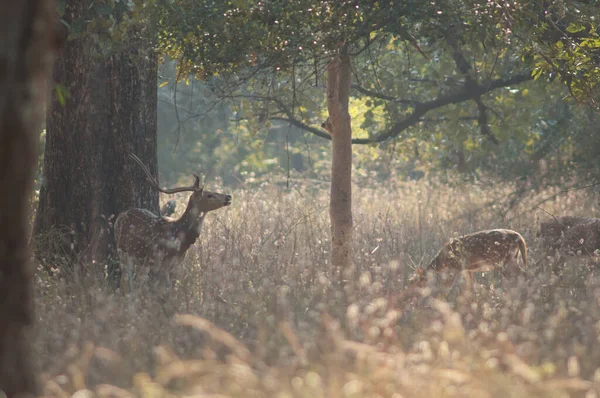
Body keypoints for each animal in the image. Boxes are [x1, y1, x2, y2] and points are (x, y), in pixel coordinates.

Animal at [112, 154, 232, 294]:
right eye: (209, 195)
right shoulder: (161, 261)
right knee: (126, 281)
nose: (228, 196)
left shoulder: (177, 264)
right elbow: (165, 290)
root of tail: (120, 215)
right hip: (123, 252)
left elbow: (172, 290)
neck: (180, 240)